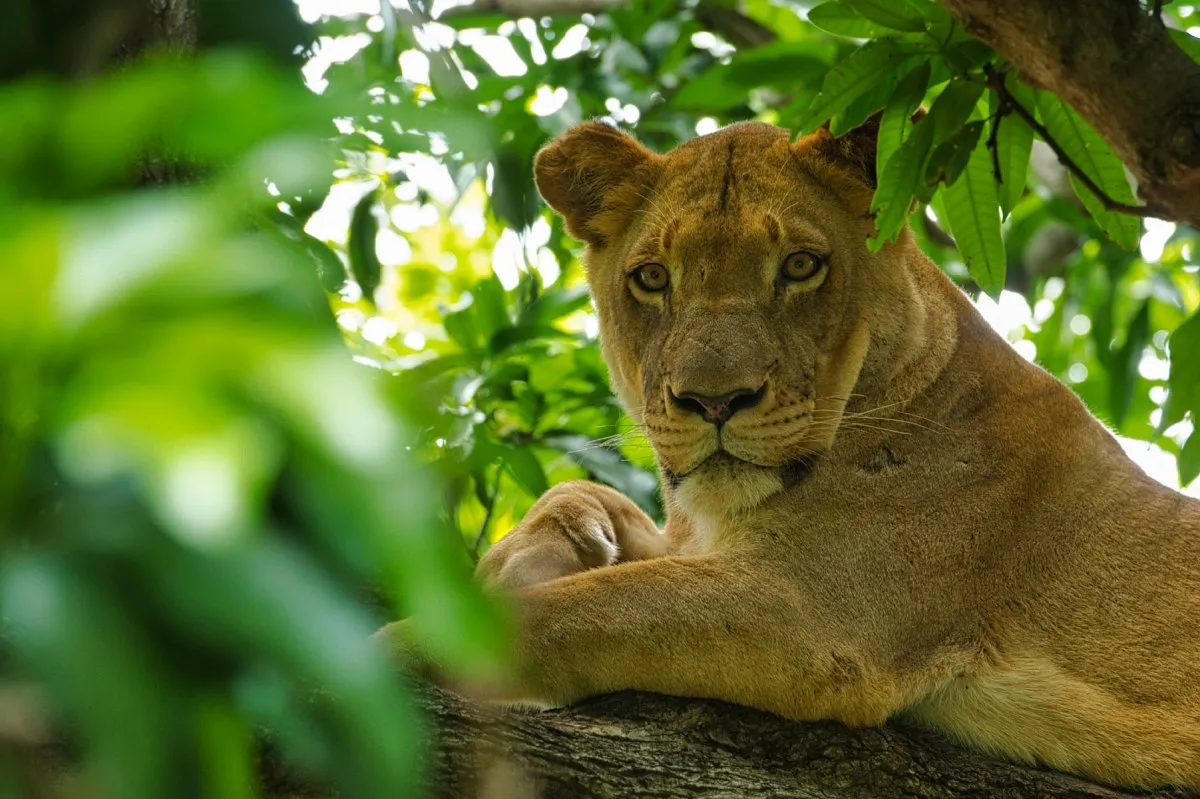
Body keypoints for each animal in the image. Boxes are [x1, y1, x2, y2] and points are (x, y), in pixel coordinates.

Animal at [389, 118, 1200, 788]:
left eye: (802, 266)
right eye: (652, 277)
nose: (715, 401)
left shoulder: (810, 610)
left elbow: (572, 611)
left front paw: (389, 652)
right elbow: (594, 510)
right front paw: (525, 554)